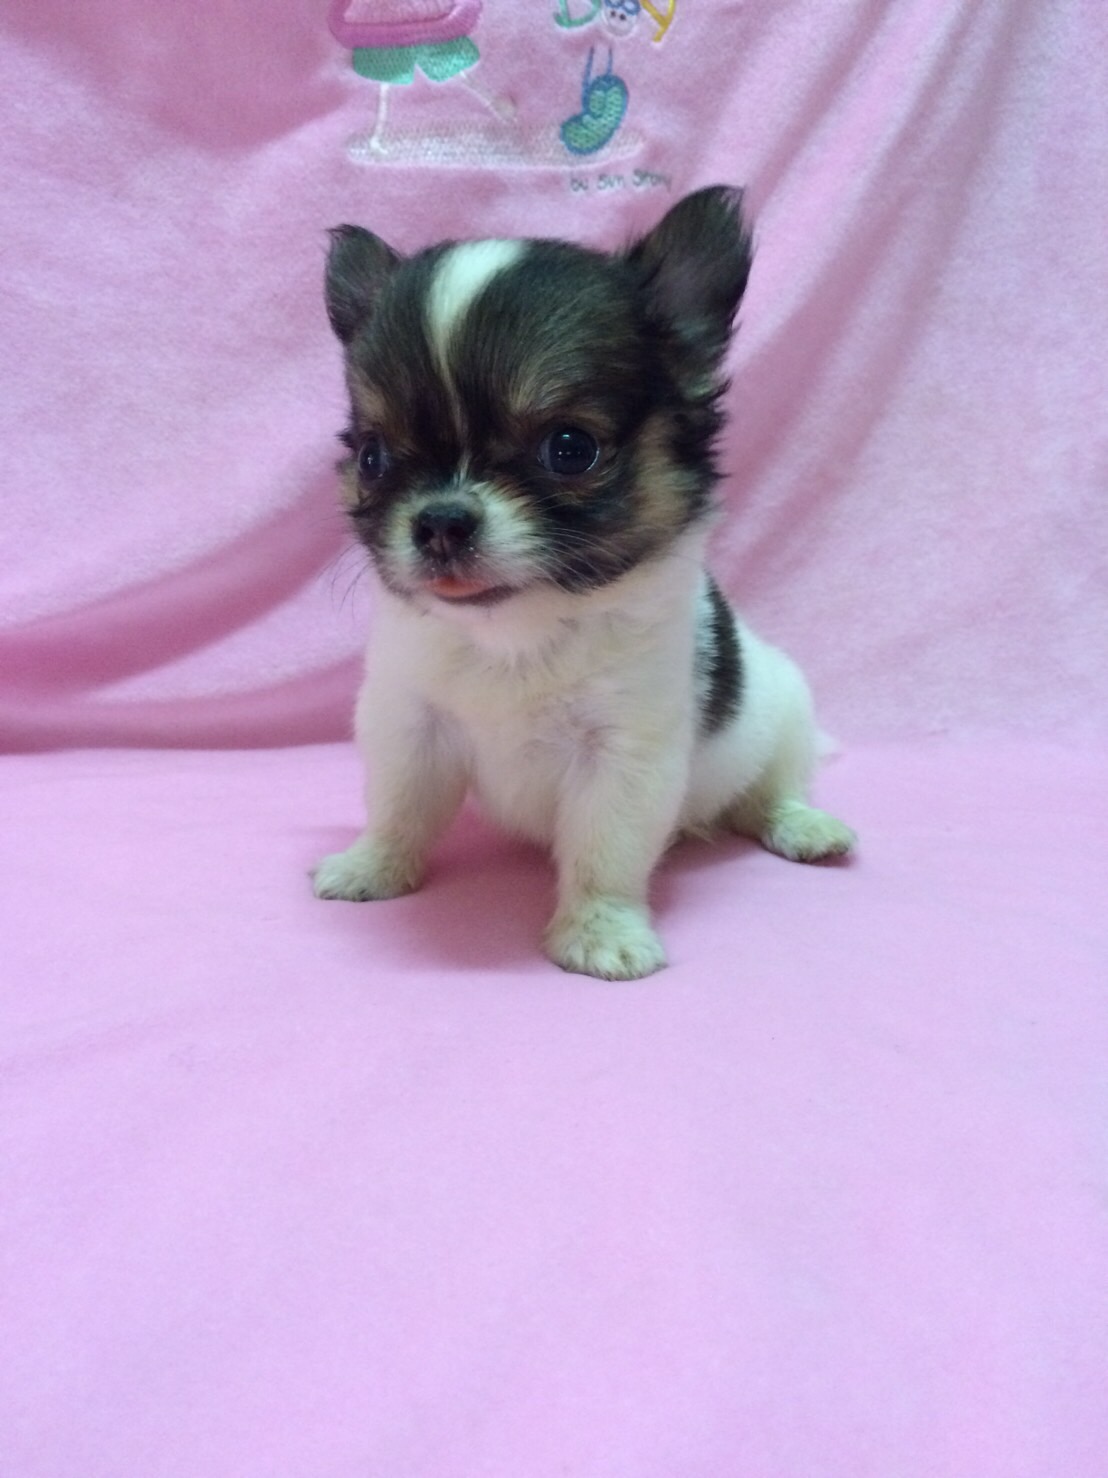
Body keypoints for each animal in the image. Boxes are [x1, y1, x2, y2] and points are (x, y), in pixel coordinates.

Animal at [312, 186, 855, 980]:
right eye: (375, 457)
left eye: (570, 449)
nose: (440, 520)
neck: (516, 634)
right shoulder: (408, 726)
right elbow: (400, 809)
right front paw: (372, 867)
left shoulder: (623, 756)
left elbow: (607, 851)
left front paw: (600, 931)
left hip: (783, 711)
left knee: (771, 791)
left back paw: (806, 826)